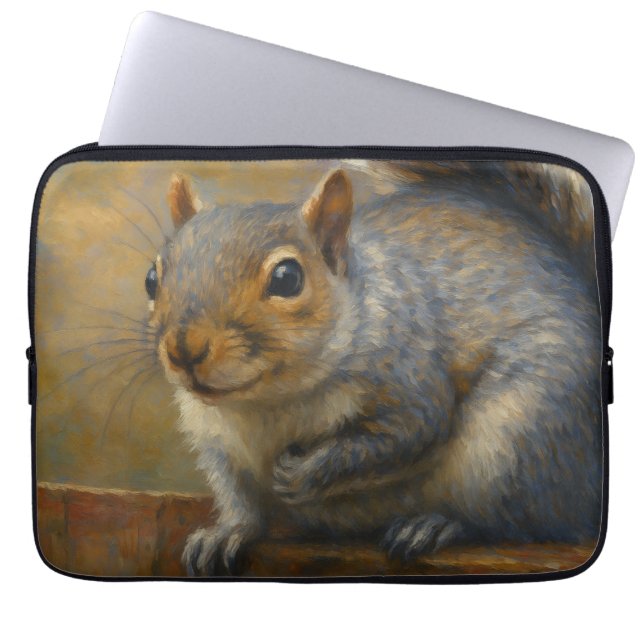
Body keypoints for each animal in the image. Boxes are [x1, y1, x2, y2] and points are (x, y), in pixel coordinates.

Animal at [144, 160, 602, 576]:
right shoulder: (218, 444)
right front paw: (228, 532)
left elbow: (403, 436)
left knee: (516, 521)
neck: (268, 401)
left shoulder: (409, 378)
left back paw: (436, 525)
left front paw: (304, 473)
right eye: (152, 277)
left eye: (288, 278)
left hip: (516, 439)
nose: (185, 349)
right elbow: (238, 499)